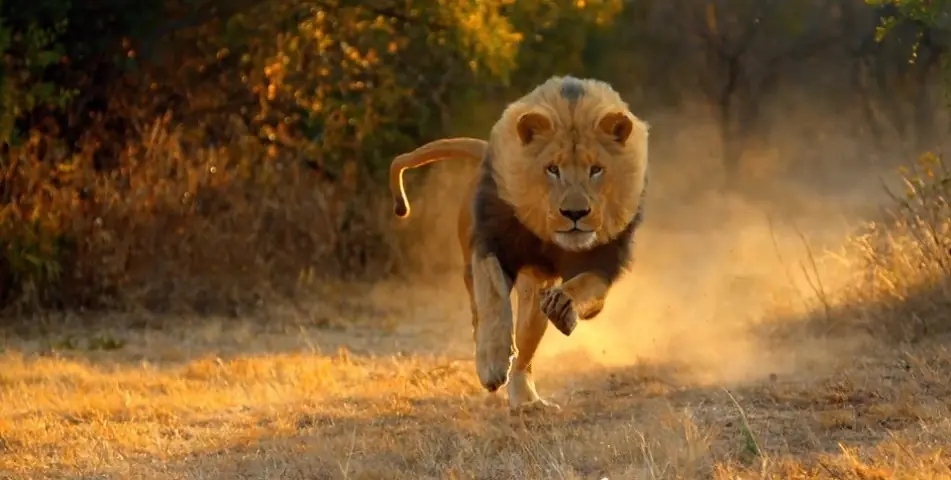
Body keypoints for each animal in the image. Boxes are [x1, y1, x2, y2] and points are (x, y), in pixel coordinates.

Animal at [388, 75, 650, 410]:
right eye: (552, 168)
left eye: (596, 170)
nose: (575, 213)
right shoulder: (491, 246)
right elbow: (493, 302)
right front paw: (492, 363)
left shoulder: (603, 263)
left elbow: (584, 287)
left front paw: (563, 306)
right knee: (478, 315)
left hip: (534, 293)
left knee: (526, 352)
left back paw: (527, 400)